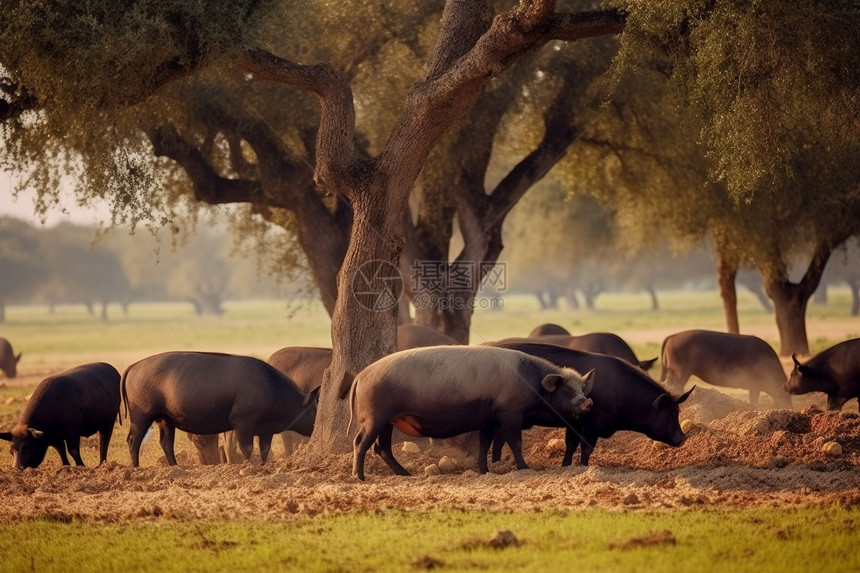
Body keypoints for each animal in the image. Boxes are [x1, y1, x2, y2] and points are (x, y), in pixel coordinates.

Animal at [122, 350, 320, 466]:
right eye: (315, 409)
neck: (270, 387)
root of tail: (134, 366)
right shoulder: (242, 424)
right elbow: (247, 448)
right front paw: (249, 467)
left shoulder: (266, 430)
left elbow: (264, 449)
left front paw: (263, 467)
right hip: (142, 417)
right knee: (133, 441)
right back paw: (136, 467)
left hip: (166, 420)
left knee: (166, 443)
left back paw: (175, 467)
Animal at [346, 344, 596, 478]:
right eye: (566, 389)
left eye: (581, 389)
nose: (587, 402)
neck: (533, 383)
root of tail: (361, 376)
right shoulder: (510, 414)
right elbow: (514, 442)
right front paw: (525, 468)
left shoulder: (488, 420)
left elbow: (484, 444)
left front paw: (484, 471)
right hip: (375, 417)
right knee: (360, 442)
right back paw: (360, 477)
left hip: (389, 421)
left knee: (381, 448)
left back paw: (406, 474)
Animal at [490, 340, 692, 464]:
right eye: (670, 412)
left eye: (678, 411)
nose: (682, 438)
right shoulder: (593, 423)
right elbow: (586, 448)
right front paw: (583, 467)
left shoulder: (575, 423)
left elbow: (571, 445)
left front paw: (566, 466)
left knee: (498, 440)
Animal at [660, 328, 792, 408]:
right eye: (785, 394)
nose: (789, 407)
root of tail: (672, 336)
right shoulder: (755, 387)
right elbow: (754, 401)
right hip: (680, 372)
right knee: (675, 388)